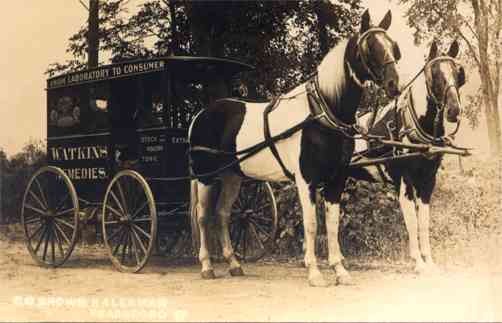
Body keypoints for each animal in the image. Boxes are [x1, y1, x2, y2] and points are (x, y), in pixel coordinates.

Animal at [190, 10, 402, 288]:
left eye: (392, 46)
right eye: (369, 48)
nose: (394, 85)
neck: (321, 113)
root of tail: (201, 114)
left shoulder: (336, 179)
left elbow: (332, 225)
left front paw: (340, 271)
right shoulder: (306, 180)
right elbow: (311, 224)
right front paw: (314, 272)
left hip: (232, 177)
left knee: (222, 214)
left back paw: (234, 264)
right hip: (205, 177)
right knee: (204, 217)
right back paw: (206, 266)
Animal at [354, 39, 464, 274]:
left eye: (458, 73)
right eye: (434, 73)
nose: (454, 111)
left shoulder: (428, 180)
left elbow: (423, 221)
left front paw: (429, 261)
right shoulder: (404, 180)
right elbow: (411, 221)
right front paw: (418, 262)